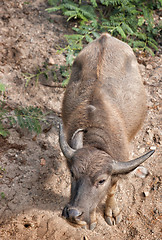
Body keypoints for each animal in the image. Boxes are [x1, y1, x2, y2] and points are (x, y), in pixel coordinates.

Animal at [59, 32, 154, 230]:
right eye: (72, 173)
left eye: (101, 180)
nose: (73, 214)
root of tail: (105, 36)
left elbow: (111, 190)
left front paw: (112, 211)